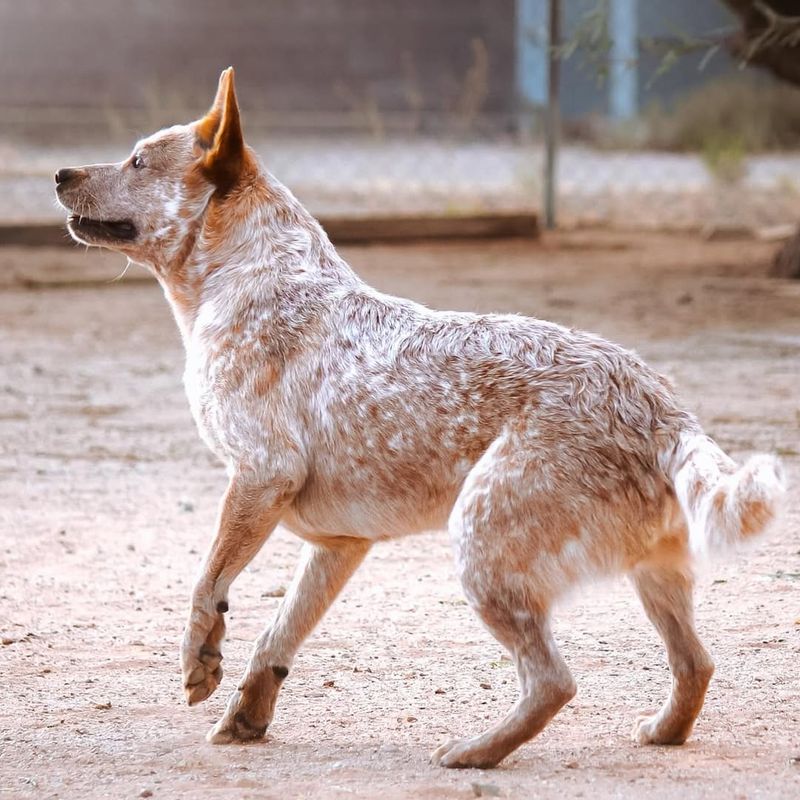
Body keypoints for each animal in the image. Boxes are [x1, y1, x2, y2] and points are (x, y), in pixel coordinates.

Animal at [53, 69, 784, 768]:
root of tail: (661, 406)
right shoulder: (339, 543)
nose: (59, 174)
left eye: (138, 161)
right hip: (653, 573)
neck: (248, 276)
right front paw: (247, 716)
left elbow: (207, 585)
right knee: (696, 664)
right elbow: (278, 634)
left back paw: (474, 754)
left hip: (480, 542)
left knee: (554, 681)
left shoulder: (260, 475)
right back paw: (661, 732)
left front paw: (199, 660)